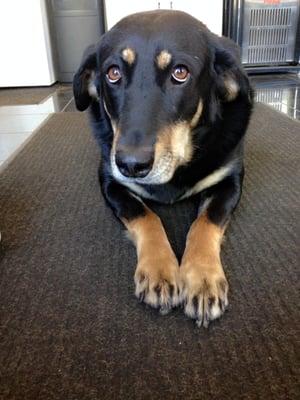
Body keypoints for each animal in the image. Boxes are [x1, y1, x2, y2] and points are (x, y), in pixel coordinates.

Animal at [72, 10, 253, 328]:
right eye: (113, 73)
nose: (131, 165)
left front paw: (202, 278)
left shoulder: (230, 180)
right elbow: (145, 216)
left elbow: (205, 222)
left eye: (180, 72)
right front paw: (159, 269)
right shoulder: (109, 180)